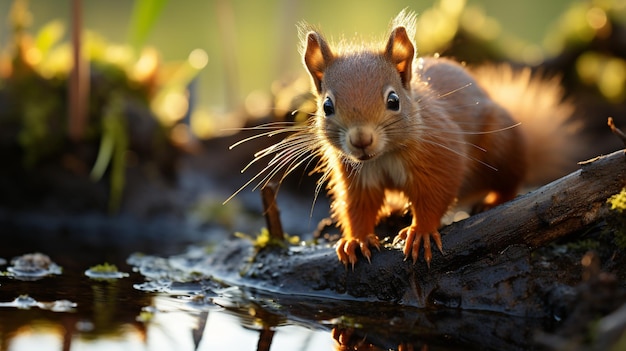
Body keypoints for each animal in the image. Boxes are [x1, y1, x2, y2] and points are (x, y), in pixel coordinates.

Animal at [232, 11, 576, 270]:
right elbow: (357, 206)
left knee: (512, 178)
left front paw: (420, 232)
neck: (384, 156)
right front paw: (357, 239)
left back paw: (493, 200)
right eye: (327, 106)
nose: (361, 139)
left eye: (394, 100)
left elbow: (435, 193)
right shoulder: (356, 175)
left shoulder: (442, 154)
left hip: (502, 147)